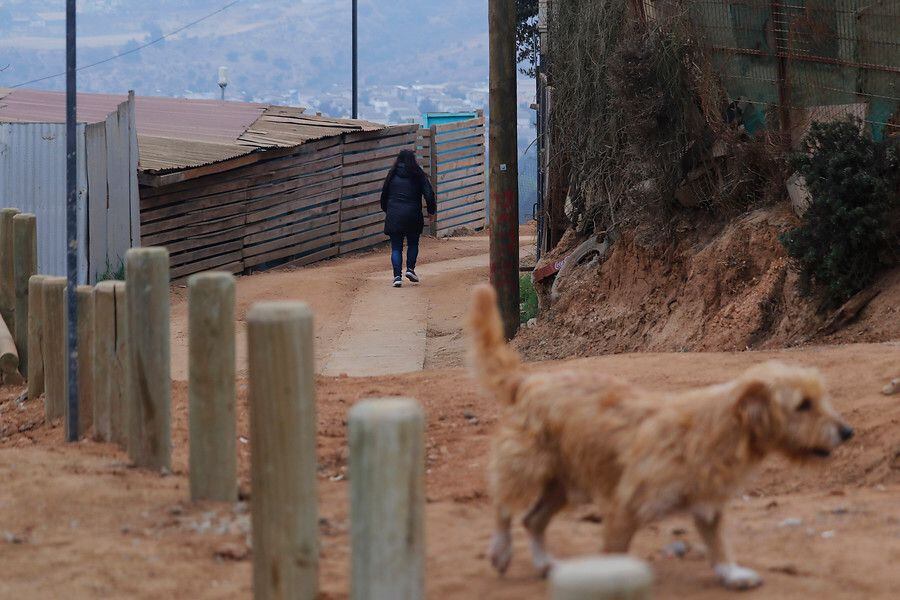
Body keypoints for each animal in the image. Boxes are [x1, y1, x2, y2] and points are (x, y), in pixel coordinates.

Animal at [468, 284, 856, 588]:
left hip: (563, 484)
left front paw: (731, 573)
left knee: (532, 520)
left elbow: (718, 543)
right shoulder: (625, 507)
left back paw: (545, 563)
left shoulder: (708, 507)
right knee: (504, 506)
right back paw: (501, 550)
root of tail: (529, 379)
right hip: (527, 466)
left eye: (822, 398)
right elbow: (614, 556)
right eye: (803, 404)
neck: (721, 429)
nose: (847, 432)